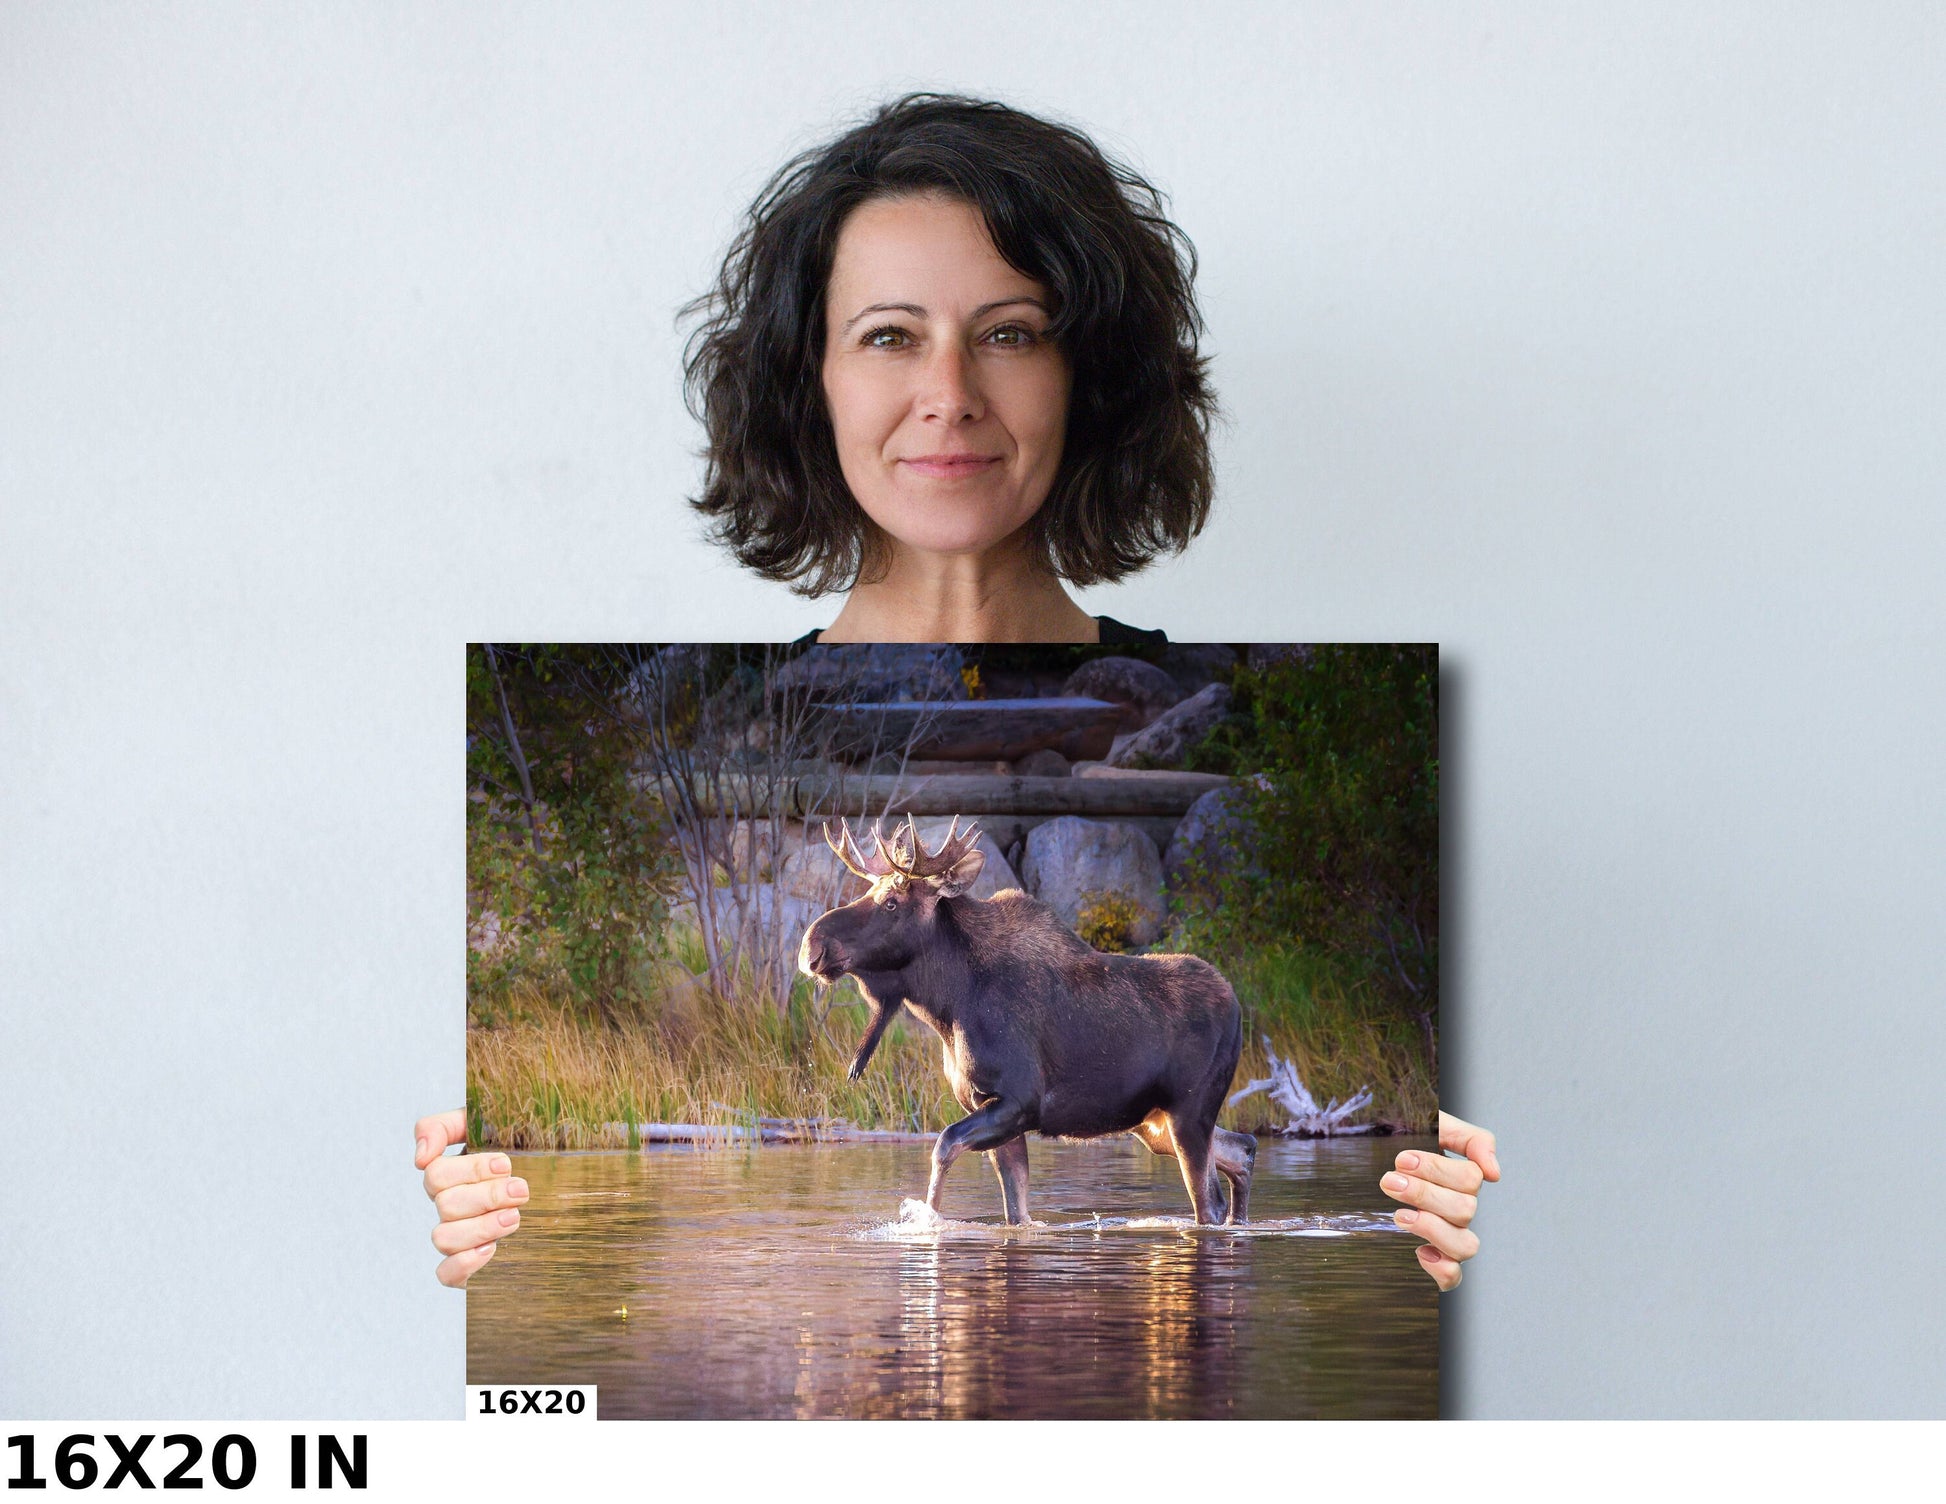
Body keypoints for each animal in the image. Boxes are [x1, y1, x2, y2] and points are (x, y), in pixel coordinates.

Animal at [793, 817, 1261, 1229]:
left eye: (891, 902)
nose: (811, 947)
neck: (948, 1005)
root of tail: (1237, 1006)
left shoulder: (1017, 1101)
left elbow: (942, 1147)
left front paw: (928, 1222)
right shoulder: (991, 1109)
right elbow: (1015, 1211)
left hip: (1188, 1112)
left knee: (1209, 1202)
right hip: (1154, 1122)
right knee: (1243, 1148)